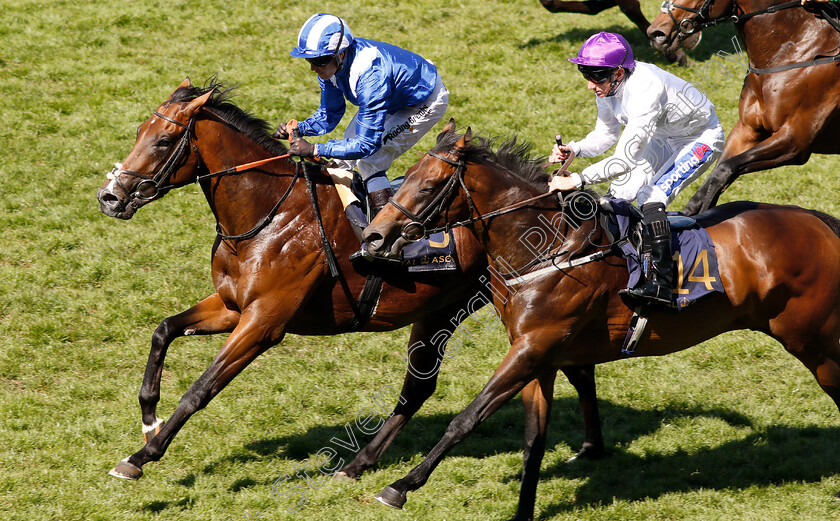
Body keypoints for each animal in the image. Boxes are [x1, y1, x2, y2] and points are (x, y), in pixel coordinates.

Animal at [95, 79, 612, 482]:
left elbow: (201, 388)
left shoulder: (264, 323)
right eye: (140, 132)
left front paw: (143, 455)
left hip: (496, 312)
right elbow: (163, 330)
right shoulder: (232, 305)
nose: (110, 196)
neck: (268, 214)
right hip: (447, 310)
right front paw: (148, 417)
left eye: (164, 141)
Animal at [364, 122, 840, 520]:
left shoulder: (532, 348)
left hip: (814, 340)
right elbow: (533, 442)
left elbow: (466, 418)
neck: (549, 248)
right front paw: (523, 511)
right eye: (405, 176)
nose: (373, 236)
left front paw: (400, 485)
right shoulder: (539, 357)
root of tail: (819, 222)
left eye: (429, 185)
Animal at [648, 0, 840, 215]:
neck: (792, 50)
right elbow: (711, 180)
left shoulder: (795, 142)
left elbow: (724, 171)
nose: (656, 33)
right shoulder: (746, 130)